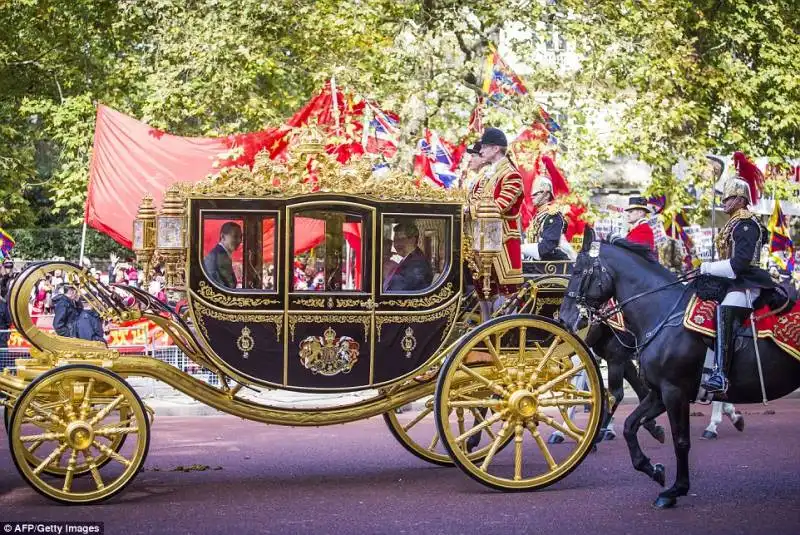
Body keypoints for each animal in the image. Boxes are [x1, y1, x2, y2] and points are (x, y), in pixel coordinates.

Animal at [560, 229, 800, 506]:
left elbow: (680, 440)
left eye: (579, 271)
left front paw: (675, 490)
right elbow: (630, 424)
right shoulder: (658, 391)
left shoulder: (672, 390)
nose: (564, 318)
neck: (662, 314)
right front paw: (653, 468)